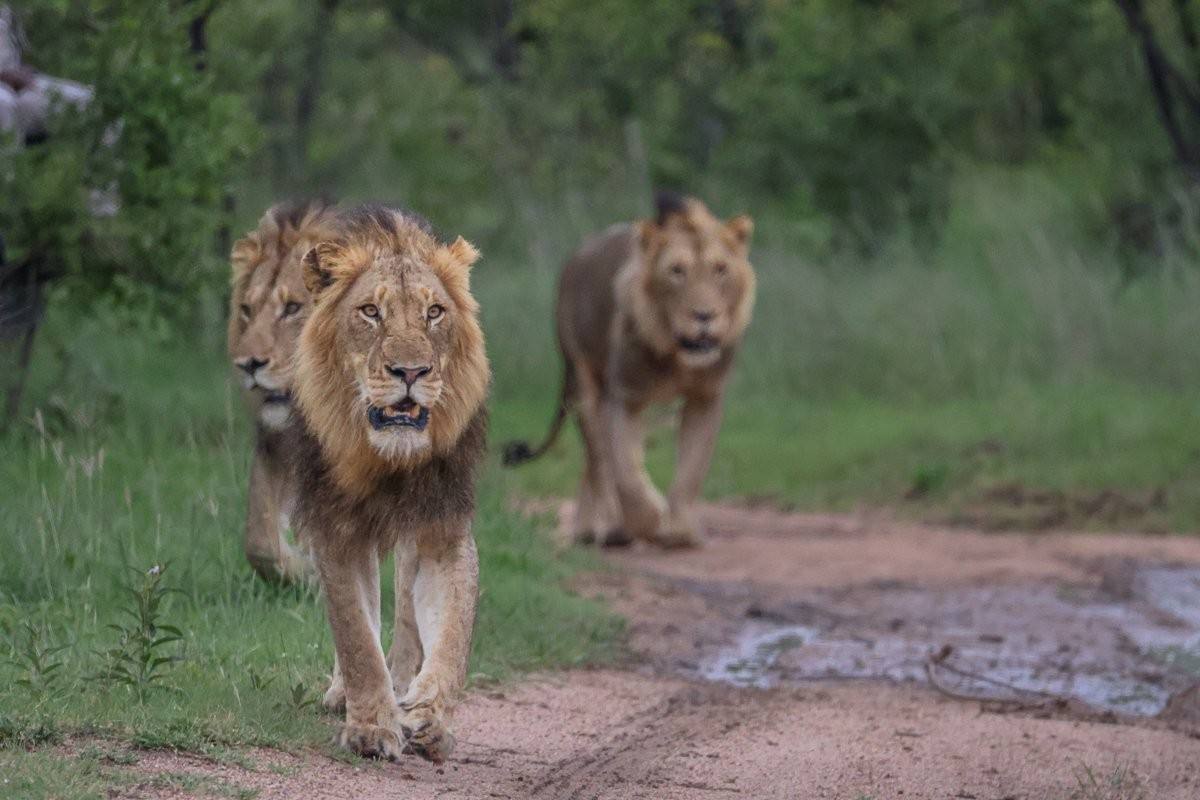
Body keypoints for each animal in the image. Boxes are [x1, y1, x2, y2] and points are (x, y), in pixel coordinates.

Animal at [228, 199, 338, 584]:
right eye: (247, 310)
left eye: (292, 308)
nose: (248, 364)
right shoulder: (272, 445)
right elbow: (260, 539)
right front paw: (304, 572)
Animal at [288, 204, 488, 764]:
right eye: (370, 312)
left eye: (434, 313)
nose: (411, 371)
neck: (388, 459)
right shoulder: (336, 530)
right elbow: (356, 637)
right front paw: (372, 727)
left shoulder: (443, 529)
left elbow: (452, 636)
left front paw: (428, 717)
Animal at [504, 193, 754, 548]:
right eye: (676, 271)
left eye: (720, 270)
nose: (704, 316)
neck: (675, 354)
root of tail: (577, 256)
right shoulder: (626, 397)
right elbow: (627, 474)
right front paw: (650, 518)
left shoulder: (705, 399)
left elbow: (691, 470)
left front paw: (680, 531)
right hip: (583, 381)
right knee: (598, 459)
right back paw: (610, 528)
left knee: (592, 462)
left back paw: (586, 527)